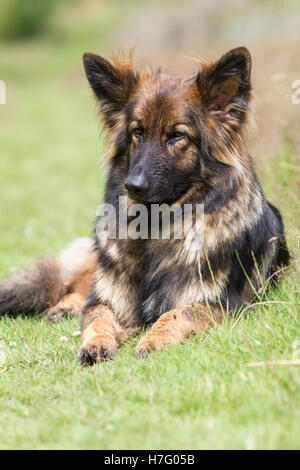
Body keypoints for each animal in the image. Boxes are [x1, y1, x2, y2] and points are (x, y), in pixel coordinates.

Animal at [0, 47, 290, 364]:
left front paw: (154, 339)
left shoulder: (224, 303)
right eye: (137, 132)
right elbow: (98, 315)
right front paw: (95, 343)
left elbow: (179, 313)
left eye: (177, 135)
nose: (133, 186)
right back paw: (65, 306)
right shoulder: (111, 297)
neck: (157, 227)